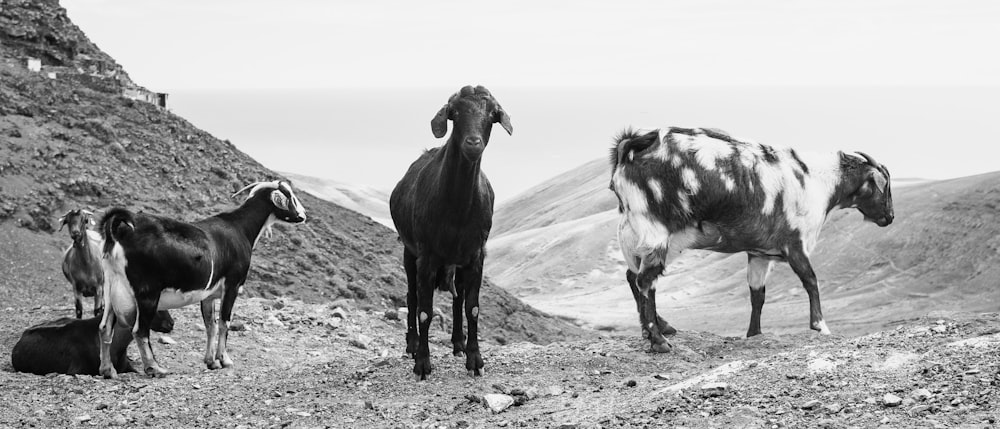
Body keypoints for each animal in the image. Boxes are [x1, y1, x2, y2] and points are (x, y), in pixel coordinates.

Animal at [100, 181, 308, 378]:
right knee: (140, 331)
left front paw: (211, 362)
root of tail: (122, 231)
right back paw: (155, 368)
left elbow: (211, 325)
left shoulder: (209, 295)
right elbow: (224, 322)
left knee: (104, 327)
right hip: (147, 293)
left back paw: (108, 371)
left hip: (110, 288)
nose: (303, 215)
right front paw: (225, 360)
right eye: (290, 197)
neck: (240, 229)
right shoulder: (232, 285)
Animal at [390, 85, 516, 380]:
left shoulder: (476, 254)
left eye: (492, 115)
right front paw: (422, 364)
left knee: (457, 299)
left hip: (456, 260)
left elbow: (472, 307)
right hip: (409, 253)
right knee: (412, 297)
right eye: (454, 114)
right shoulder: (426, 255)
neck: (457, 209)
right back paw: (412, 345)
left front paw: (475, 360)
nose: (473, 143)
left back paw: (458, 343)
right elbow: (425, 311)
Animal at [608, 125, 900, 350]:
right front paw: (820, 326)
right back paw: (658, 340)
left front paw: (754, 333)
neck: (815, 180)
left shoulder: (760, 253)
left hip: (633, 233)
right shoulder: (794, 243)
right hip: (656, 231)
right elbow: (811, 281)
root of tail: (633, 145)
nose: (890, 217)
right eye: (884, 186)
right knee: (645, 280)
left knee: (634, 277)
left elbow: (757, 294)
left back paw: (658, 328)